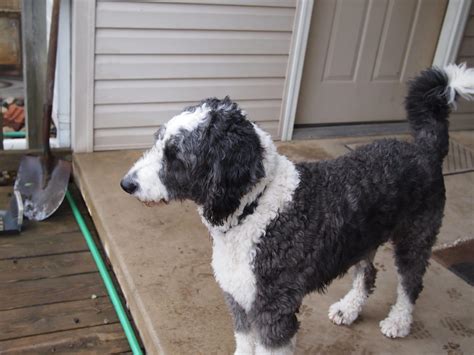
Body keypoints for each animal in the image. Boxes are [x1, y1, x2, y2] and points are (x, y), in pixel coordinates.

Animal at [120, 64, 472, 355]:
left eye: (175, 156)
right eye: (158, 141)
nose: (126, 184)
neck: (254, 207)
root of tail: (425, 148)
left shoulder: (273, 311)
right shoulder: (239, 300)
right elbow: (243, 342)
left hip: (416, 236)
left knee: (410, 283)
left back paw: (398, 321)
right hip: (363, 239)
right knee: (368, 273)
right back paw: (349, 308)